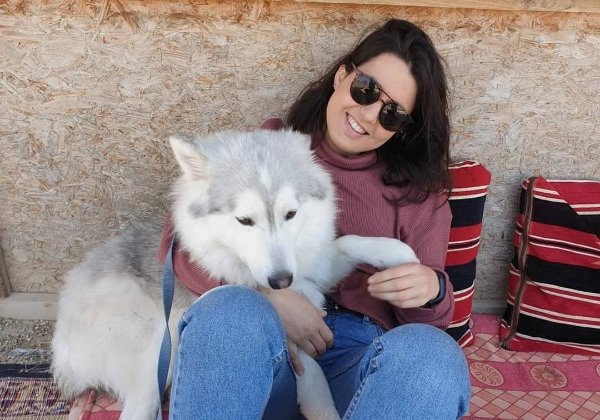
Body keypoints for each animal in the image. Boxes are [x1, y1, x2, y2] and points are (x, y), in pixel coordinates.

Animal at [52, 129, 419, 420]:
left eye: (290, 214)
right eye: (244, 220)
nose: (281, 281)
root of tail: (61, 348)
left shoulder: (316, 269)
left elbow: (347, 242)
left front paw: (398, 256)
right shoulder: (295, 340)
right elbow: (315, 384)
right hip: (155, 358)